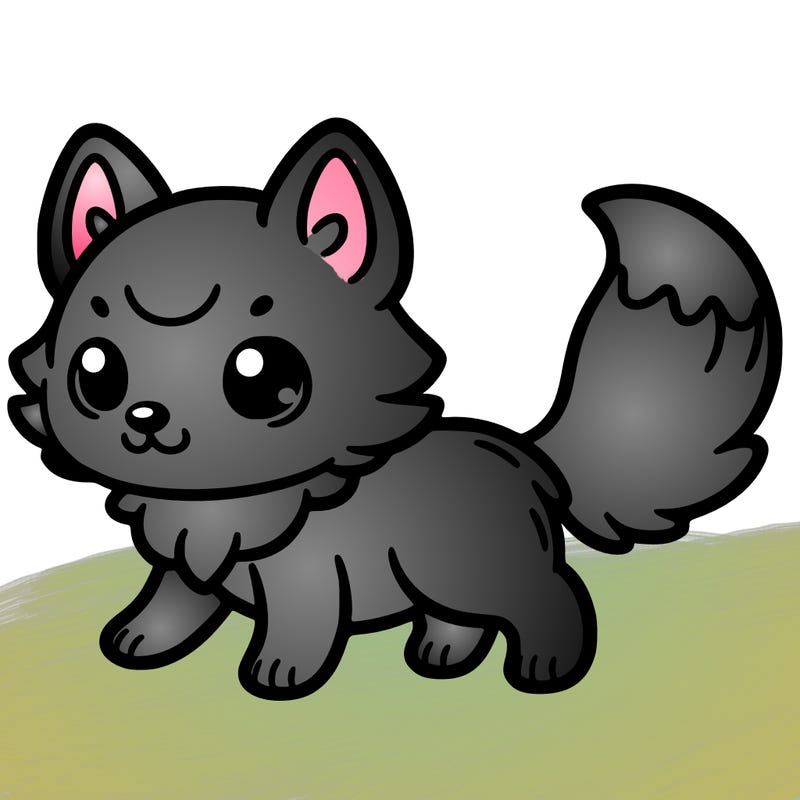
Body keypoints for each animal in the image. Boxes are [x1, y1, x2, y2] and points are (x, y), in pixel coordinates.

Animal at [8, 120, 781, 699]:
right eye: (96, 372)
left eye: (262, 377)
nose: (145, 419)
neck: (225, 504)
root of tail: (523, 452)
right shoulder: (181, 565)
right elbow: (171, 602)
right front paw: (136, 640)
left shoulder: (307, 583)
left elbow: (297, 628)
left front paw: (278, 675)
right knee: (462, 620)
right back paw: (441, 657)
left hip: (477, 569)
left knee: (550, 595)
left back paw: (546, 669)